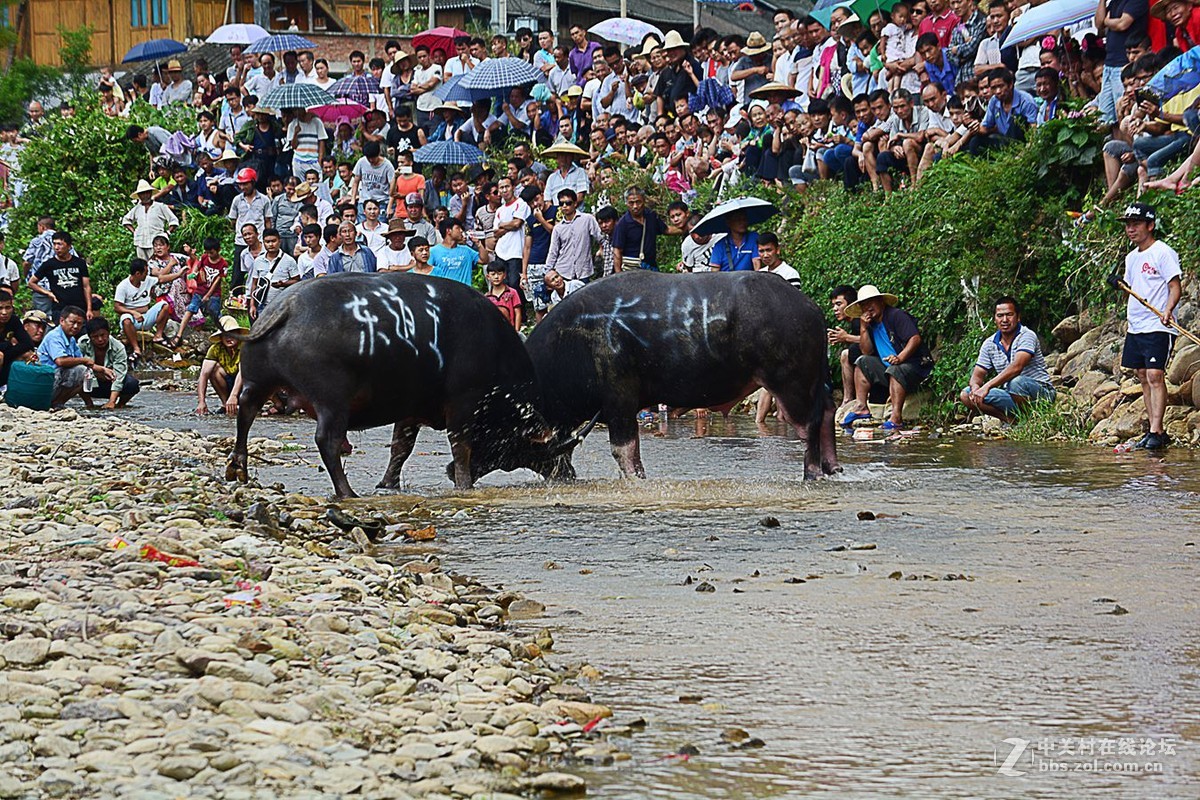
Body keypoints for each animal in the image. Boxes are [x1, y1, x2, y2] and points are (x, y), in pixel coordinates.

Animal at [225, 275, 590, 501]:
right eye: (538, 451)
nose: (567, 473)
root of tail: (283, 307)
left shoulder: (411, 408)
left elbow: (401, 447)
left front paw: (388, 484)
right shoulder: (463, 403)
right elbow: (461, 446)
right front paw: (463, 483)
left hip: (257, 382)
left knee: (246, 412)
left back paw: (237, 467)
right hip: (332, 402)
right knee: (326, 441)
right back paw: (346, 491)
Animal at [525, 271, 844, 482]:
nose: (564, 476)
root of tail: (810, 308)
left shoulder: (619, 403)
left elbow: (623, 451)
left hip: (792, 384)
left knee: (809, 424)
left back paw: (812, 473)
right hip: (816, 381)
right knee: (828, 411)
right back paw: (833, 467)